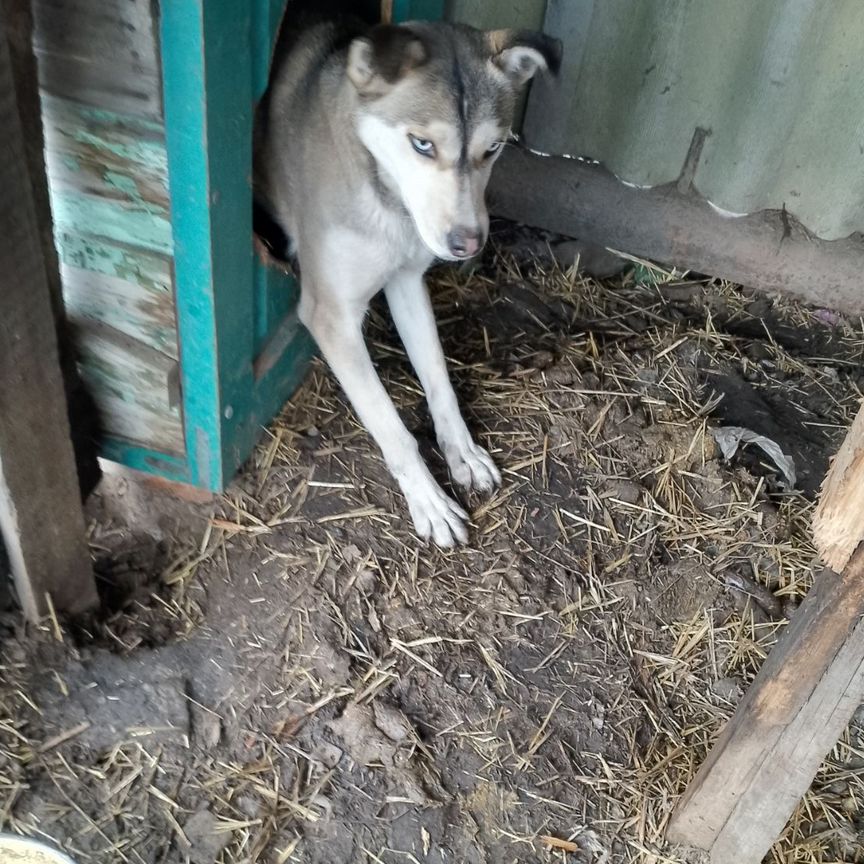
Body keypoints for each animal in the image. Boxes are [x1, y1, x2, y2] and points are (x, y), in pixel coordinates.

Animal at [255, 15, 560, 548]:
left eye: (493, 148)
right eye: (421, 144)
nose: (467, 243)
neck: (388, 201)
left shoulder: (407, 284)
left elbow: (439, 381)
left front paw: (463, 452)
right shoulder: (331, 317)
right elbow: (392, 427)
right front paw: (430, 502)